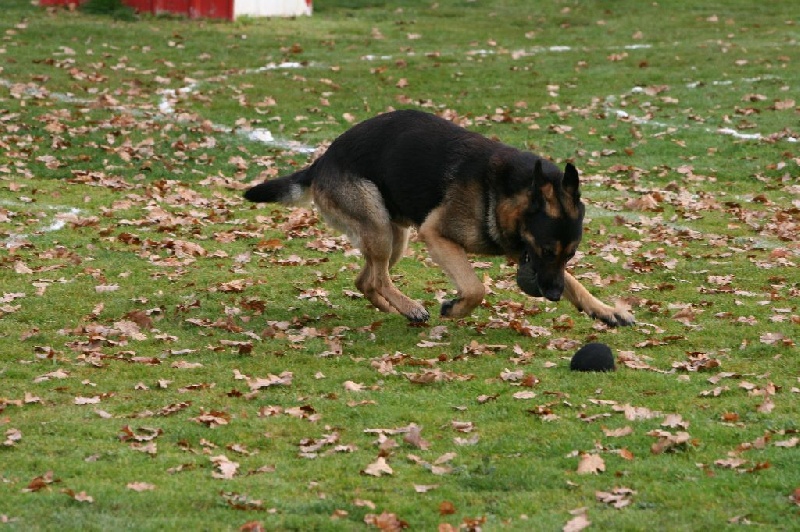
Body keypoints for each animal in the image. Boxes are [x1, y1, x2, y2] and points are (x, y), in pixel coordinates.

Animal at [244, 109, 632, 326]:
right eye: (548, 250)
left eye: (570, 254)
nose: (551, 295)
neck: (502, 191)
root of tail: (321, 161)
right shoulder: (436, 235)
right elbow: (475, 288)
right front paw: (456, 309)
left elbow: (576, 283)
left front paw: (603, 308)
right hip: (382, 230)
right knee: (378, 278)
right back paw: (410, 307)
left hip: (394, 237)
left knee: (366, 280)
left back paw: (392, 309)